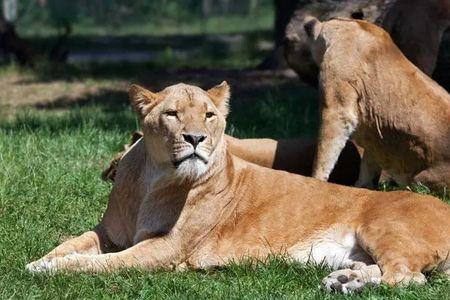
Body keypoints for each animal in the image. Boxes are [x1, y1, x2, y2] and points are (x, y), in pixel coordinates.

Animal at [26, 81, 450, 292]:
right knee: (391, 271)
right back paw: (345, 280)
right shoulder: (108, 233)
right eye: (172, 114)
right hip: (356, 251)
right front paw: (40, 261)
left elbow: (100, 264)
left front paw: (53, 270)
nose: (195, 138)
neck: (152, 178)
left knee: (407, 278)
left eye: (209, 115)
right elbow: (72, 243)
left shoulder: (166, 248)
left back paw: (353, 286)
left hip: (386, 228)